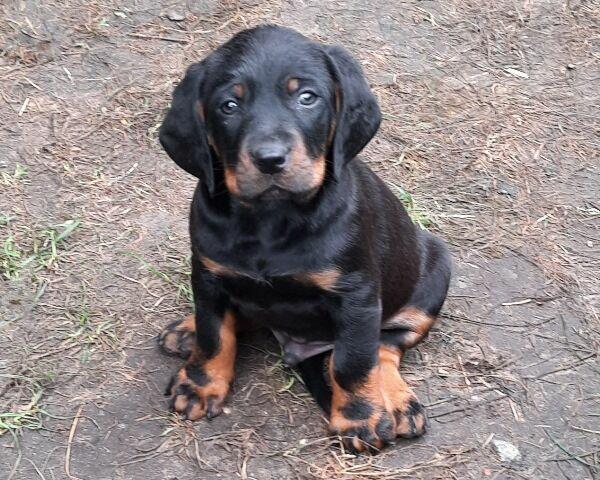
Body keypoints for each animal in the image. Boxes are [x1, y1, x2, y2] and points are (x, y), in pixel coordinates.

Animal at [158, 25, 450, 454]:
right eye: (229, 105)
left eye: (306, 97)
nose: (269, 159)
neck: (271, 219)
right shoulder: (208, 274)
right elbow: (214, 335)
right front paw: (200, 384)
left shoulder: (356, 295)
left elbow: (353, 361)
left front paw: (359, 418)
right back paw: (187, 329)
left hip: (435, 269)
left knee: (385, 345)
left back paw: (396, 402)